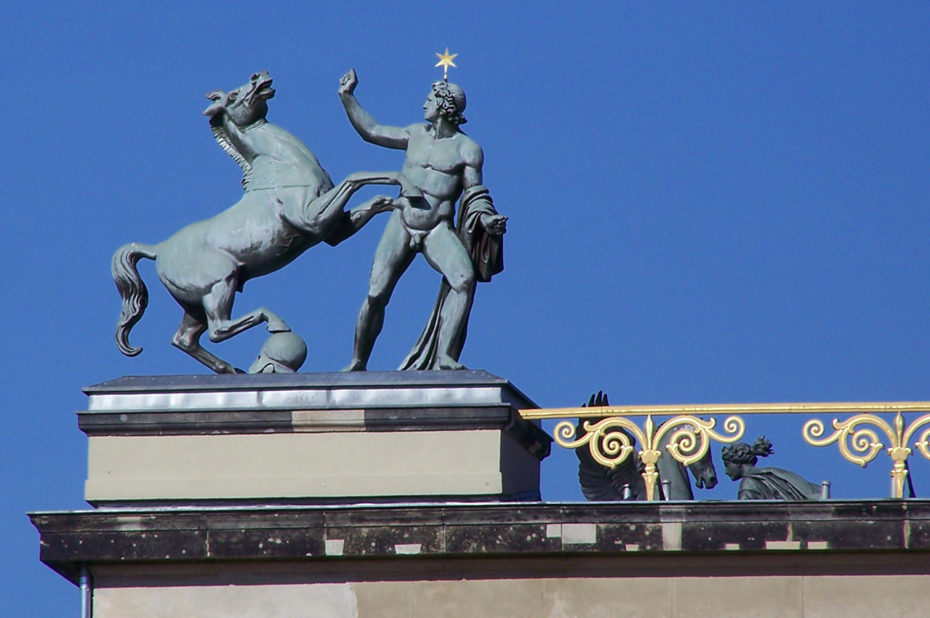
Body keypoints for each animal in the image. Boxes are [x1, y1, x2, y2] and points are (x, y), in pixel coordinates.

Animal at [112, 72, 410, 370]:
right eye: (233, 95)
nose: (259, 76)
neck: (282, 163)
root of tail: (158, 249)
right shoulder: (311, 219)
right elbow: (356, 177)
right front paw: (402, 180)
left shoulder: (333, 231)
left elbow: (371, 200)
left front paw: (397, 201)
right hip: (221, 282)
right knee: (219, 329)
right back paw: (274, 323)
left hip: (194, 305)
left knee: (185, 338)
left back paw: (231, 369)